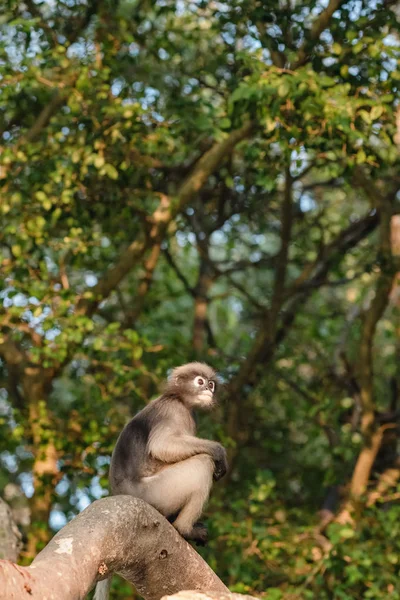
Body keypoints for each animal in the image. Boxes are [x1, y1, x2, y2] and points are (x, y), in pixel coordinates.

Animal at [92, 360, 227, 600]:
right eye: (200, 381)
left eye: (211, 384)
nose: (208, 390)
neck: (177, 398)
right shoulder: (174, 412)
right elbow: (163, 446)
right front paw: (218, 451)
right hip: (159, 492)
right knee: (202, 463)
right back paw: (185, 528)